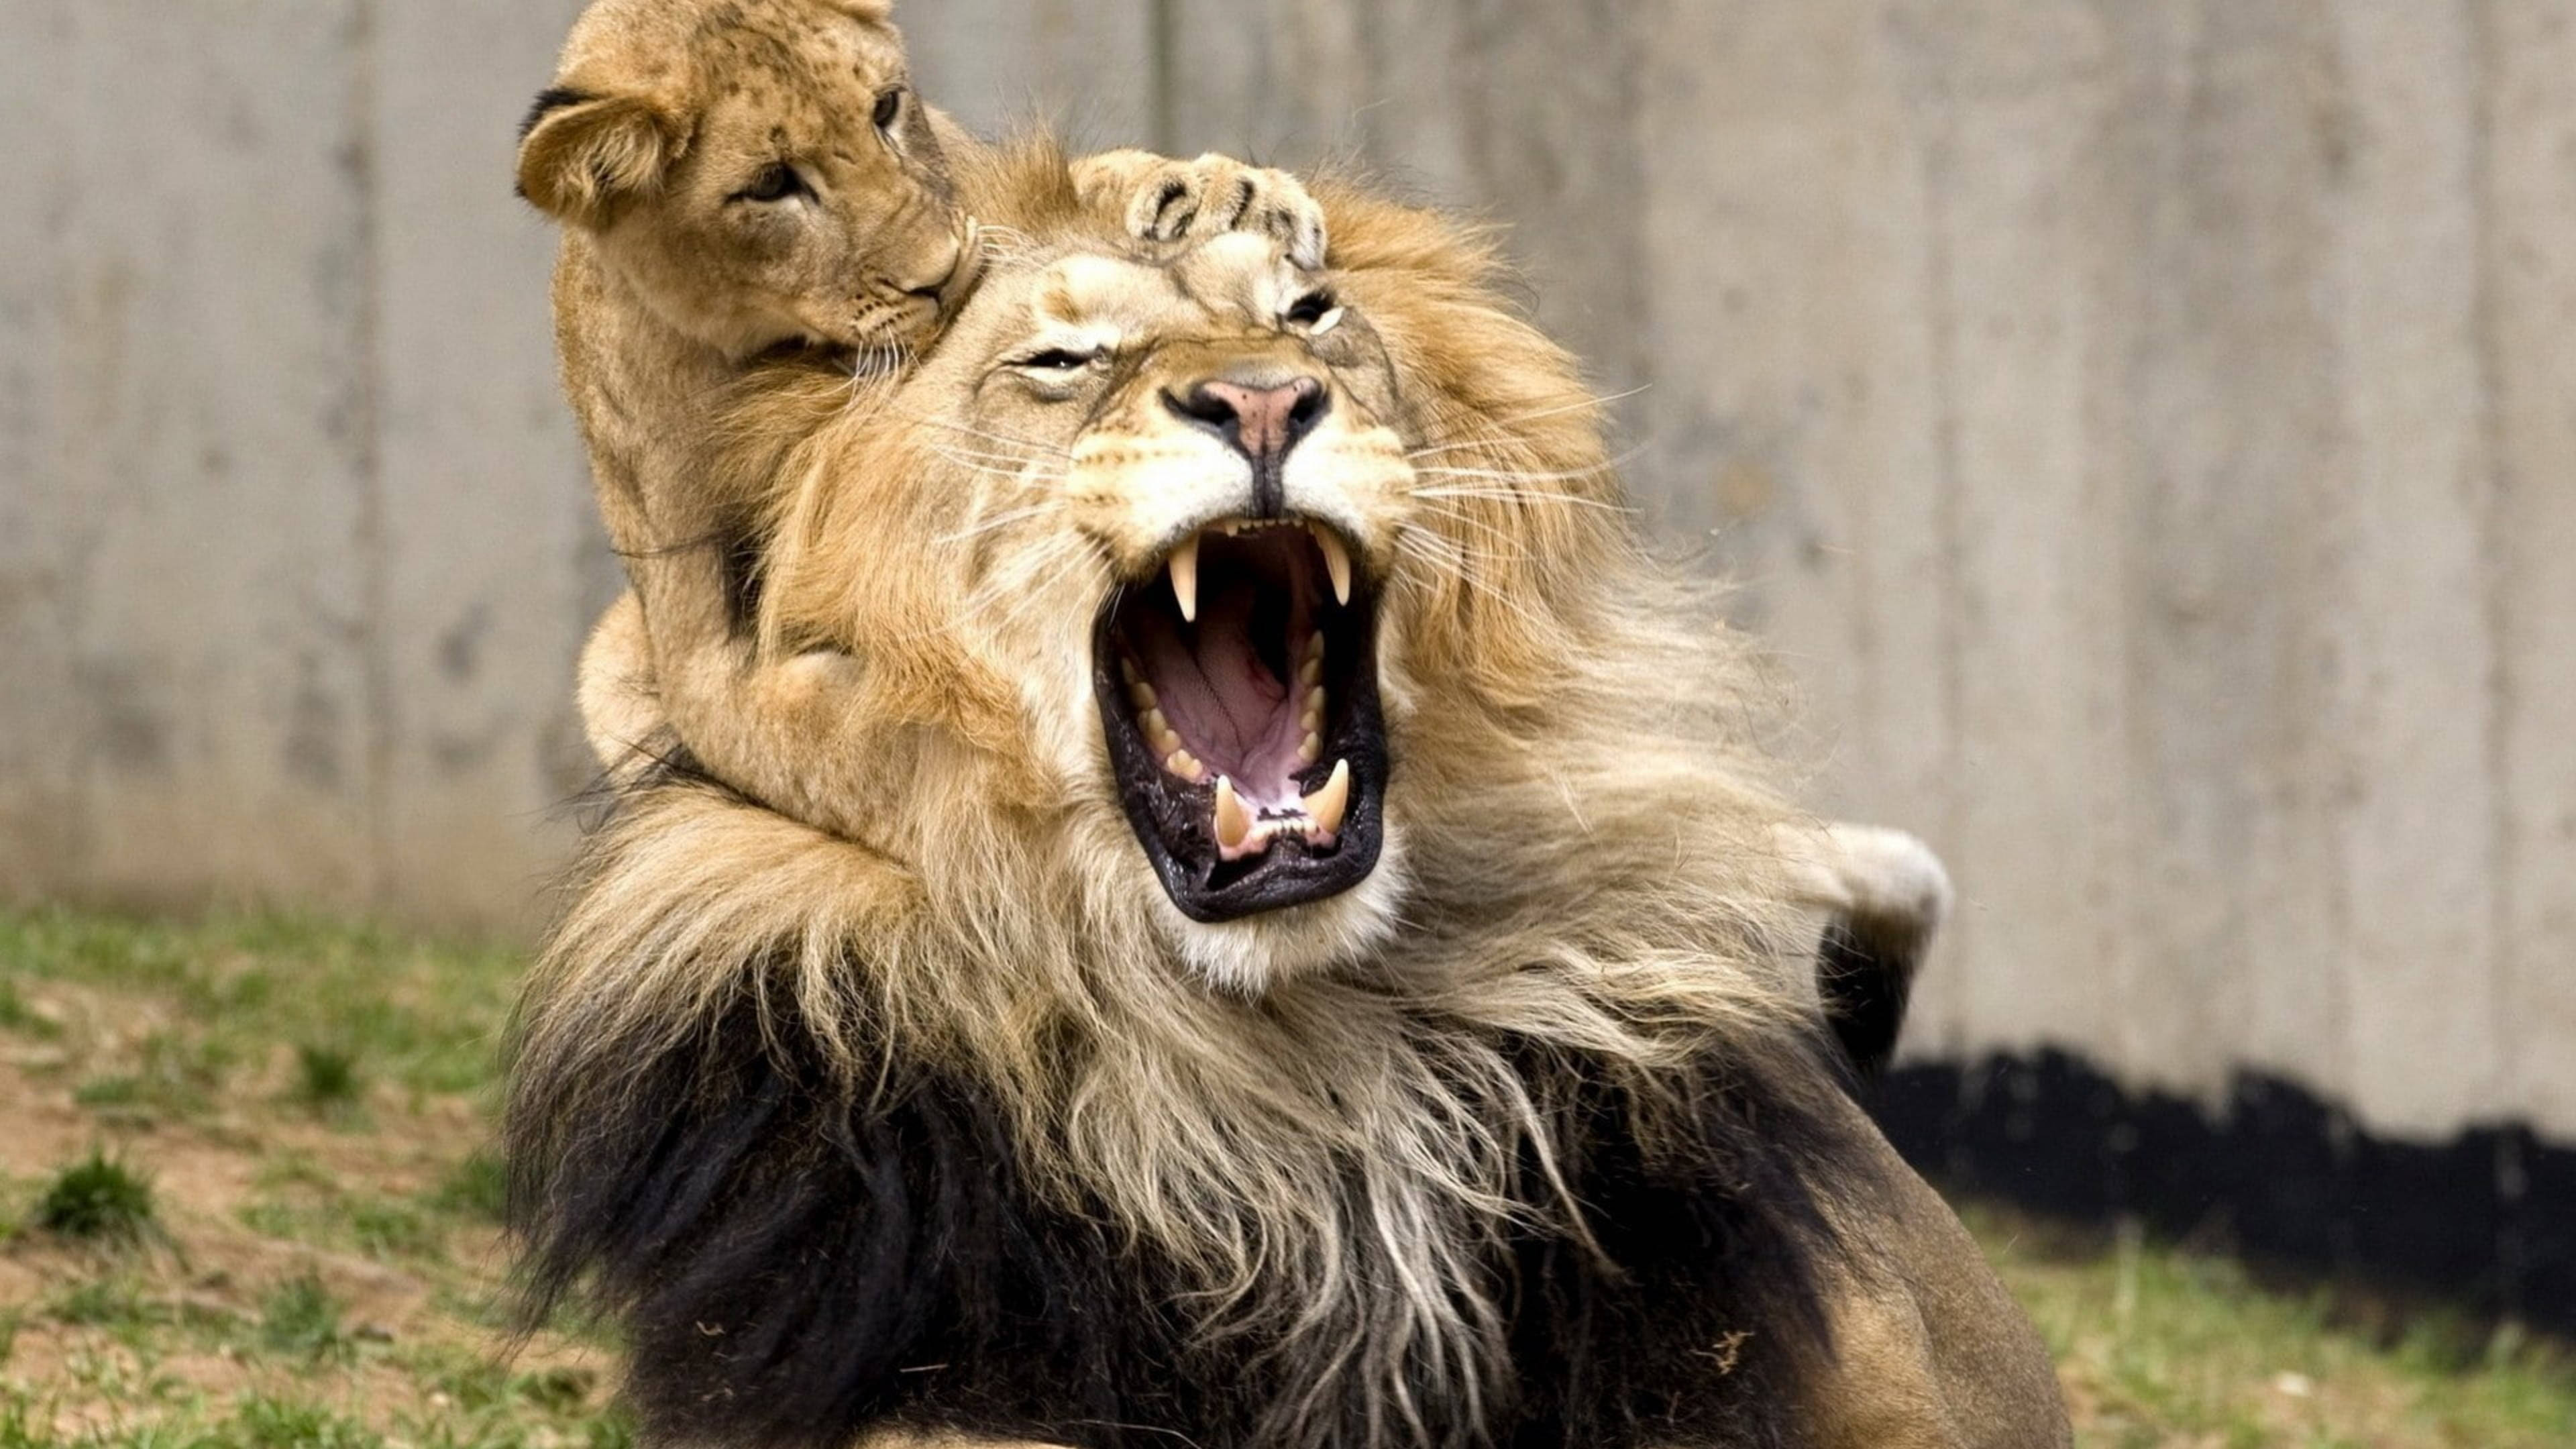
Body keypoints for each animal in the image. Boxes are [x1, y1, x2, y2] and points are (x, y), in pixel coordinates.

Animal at [518, 0, 1326, 841]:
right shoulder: (695, 646)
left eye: (885, 109)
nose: (944, 274)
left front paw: (1224, 193)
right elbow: (828, 742)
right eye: (771, 184)